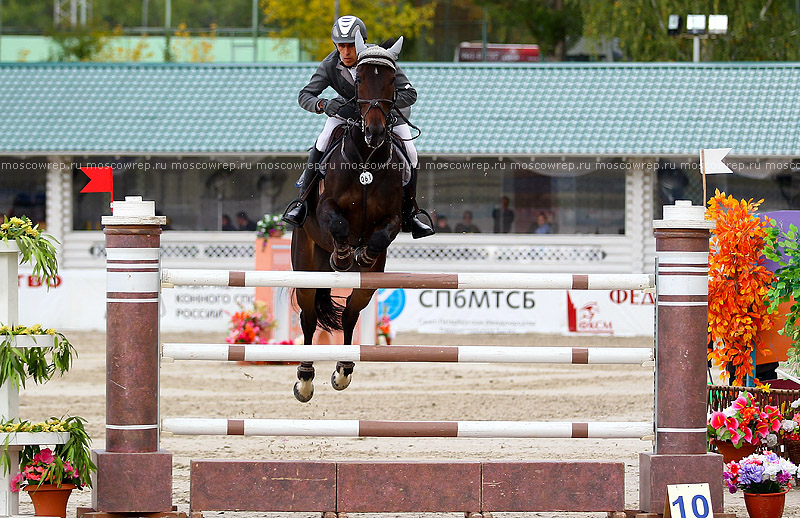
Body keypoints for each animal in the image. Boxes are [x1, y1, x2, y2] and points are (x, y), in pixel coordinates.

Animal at [290, 34, 406, 404]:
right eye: (358, 82)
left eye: (391, 80)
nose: (374, 132)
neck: (366, 158)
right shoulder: (327, 208)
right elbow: (339, 224)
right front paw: (343, 256)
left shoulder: (393, 219)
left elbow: (380, 235)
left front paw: (362, 254)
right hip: (306, 265)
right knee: (309, 315)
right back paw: (305, 378)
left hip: (367, 286)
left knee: (352, 312)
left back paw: (342, 369)